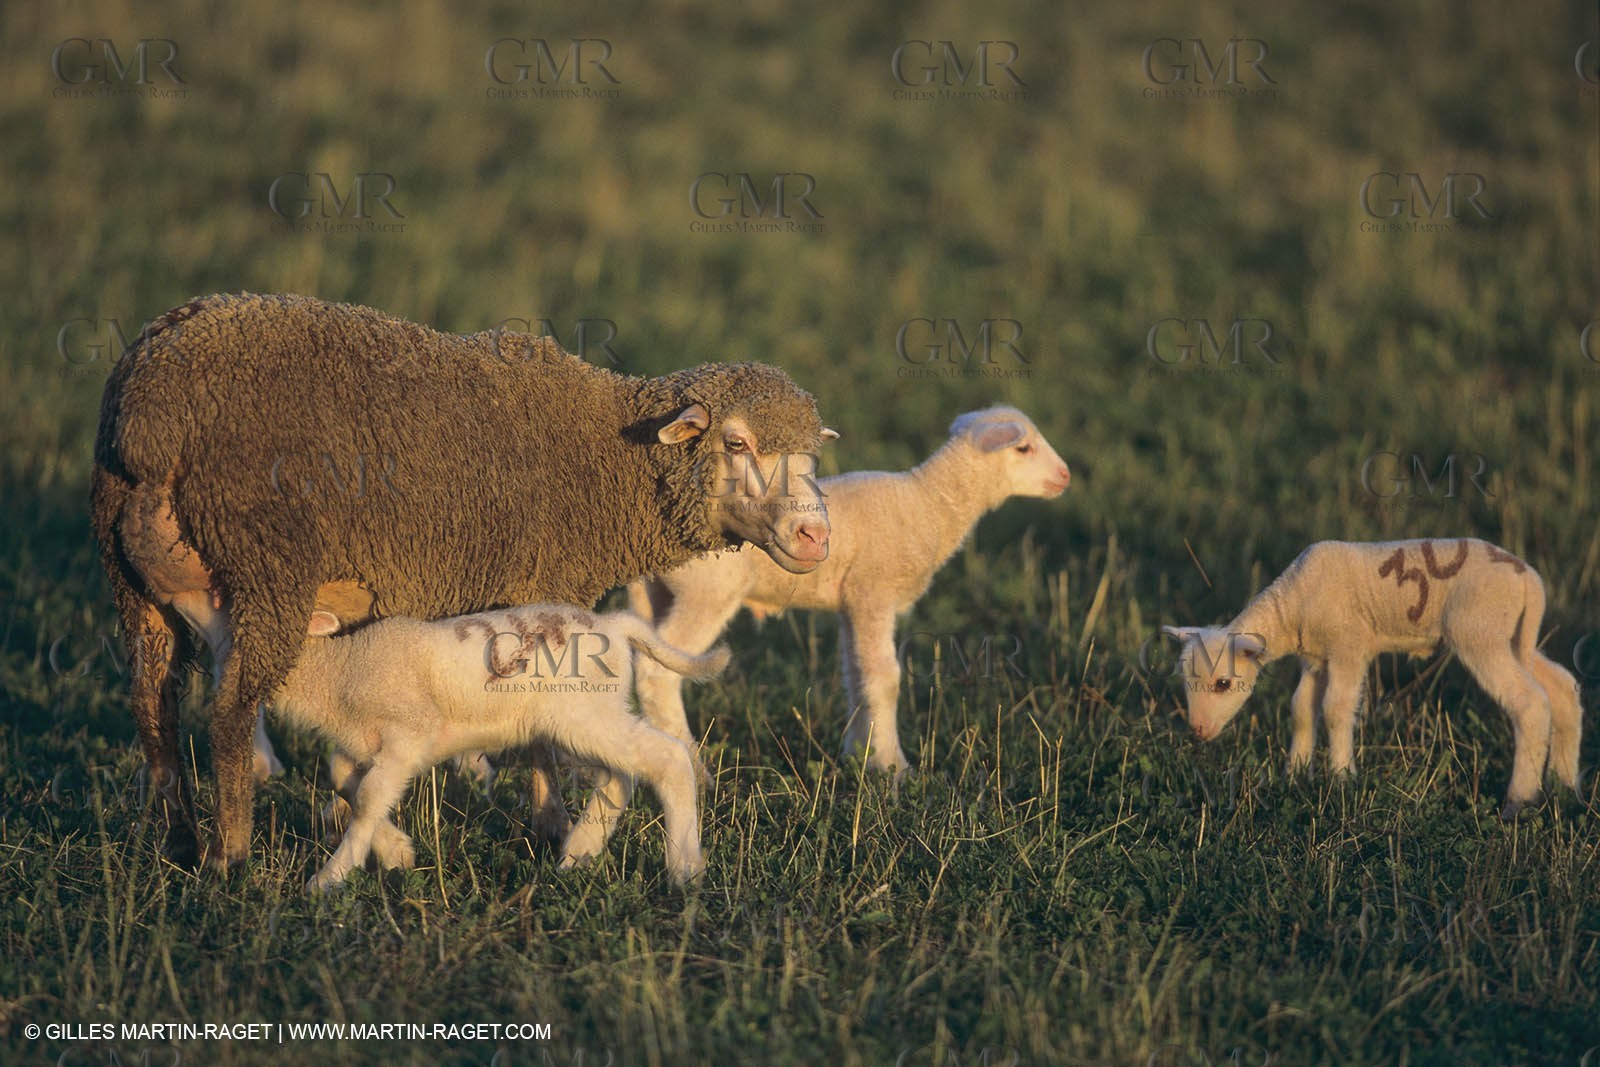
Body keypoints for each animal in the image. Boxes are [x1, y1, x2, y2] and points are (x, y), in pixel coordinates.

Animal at [276, 603, 729, 890]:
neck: (341, 668)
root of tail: (614, 624)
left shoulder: (410, 734)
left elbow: (369, 798)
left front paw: (327, 880)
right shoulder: (364, 743)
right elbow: (344, 780)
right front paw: (396, 853)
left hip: (585, 715)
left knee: (667, 758)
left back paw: (685, 870)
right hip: (585, 720)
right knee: (620, 775)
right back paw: (578, 855)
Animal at [1162, 538, 1583, 818]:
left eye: (1222, 684)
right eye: (1184, 682)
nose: (1197, 730)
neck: (1292, 605)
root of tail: (1529, 579)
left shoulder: (1349, 645)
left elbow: (1335, 709)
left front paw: (1342, 777)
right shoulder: (1317, 657)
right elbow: (1302, 709)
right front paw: (1295, 773)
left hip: (1480, 631)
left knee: (1529, 703)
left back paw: (1519, 799)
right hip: (1512, 636)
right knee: (1562, 689)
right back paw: (1565, 784)